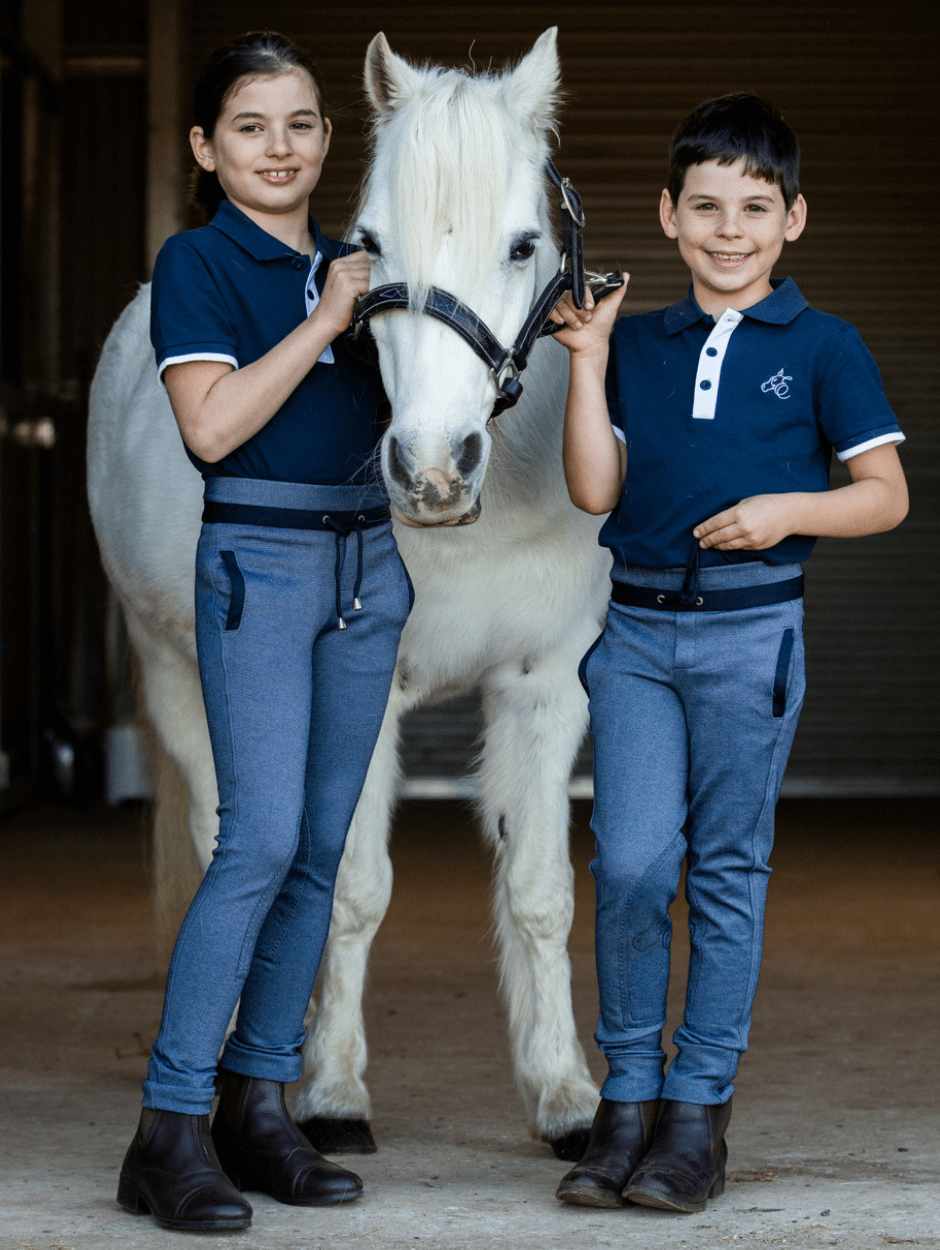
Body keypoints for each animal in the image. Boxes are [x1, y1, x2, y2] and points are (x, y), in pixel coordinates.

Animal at [88, 29, 610, 1160]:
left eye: (522, 246)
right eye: (368, 242)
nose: (431, 470)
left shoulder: (546, 685)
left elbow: (541, 893)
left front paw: (566, 1096)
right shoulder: (362, 697)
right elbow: (350, 890)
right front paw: (330, 1093)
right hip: (177, 676)